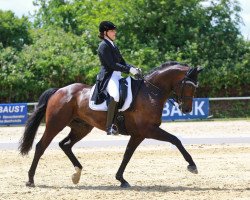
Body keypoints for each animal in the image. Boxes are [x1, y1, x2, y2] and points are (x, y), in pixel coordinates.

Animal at [19, 60, 203, 188]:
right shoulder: (149, 130)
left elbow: (127, 154)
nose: (187, 109)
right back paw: (30, 180)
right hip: (55, 124)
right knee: (41, 146)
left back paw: (77, 173)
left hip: (81, 127)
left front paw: (121, 179)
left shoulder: (139, 134)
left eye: (196, 87)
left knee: (65, 145)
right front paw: (192, 165)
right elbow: (175, 140)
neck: (151, 92)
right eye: (188, 86)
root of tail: (59, 90)